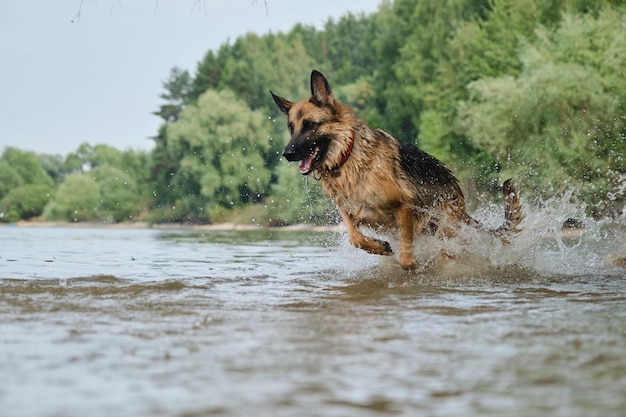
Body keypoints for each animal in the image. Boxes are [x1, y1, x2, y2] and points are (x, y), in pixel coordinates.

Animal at [268, 70, 520, 268]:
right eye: (291, 128)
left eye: (310, 125)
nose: (287, 153)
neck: (348, 157)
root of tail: (460, 201)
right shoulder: (350, 212)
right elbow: (354, 237)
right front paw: (378, 247)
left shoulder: (404, 208)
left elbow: (406, 259)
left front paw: (411, 266)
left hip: (445, 230)